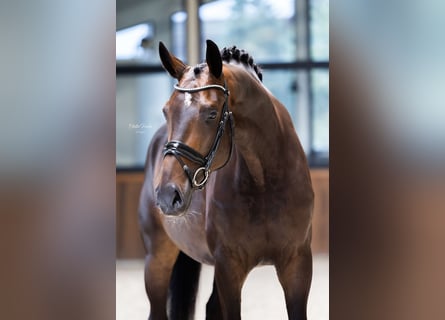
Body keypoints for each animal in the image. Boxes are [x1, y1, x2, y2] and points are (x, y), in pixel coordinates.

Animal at [138, 40, 312, 320]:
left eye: (211, 113)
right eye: (166, 111)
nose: (167, 196)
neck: (264, 181)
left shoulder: (297, 265)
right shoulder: (229, 268)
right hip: (157, 257)